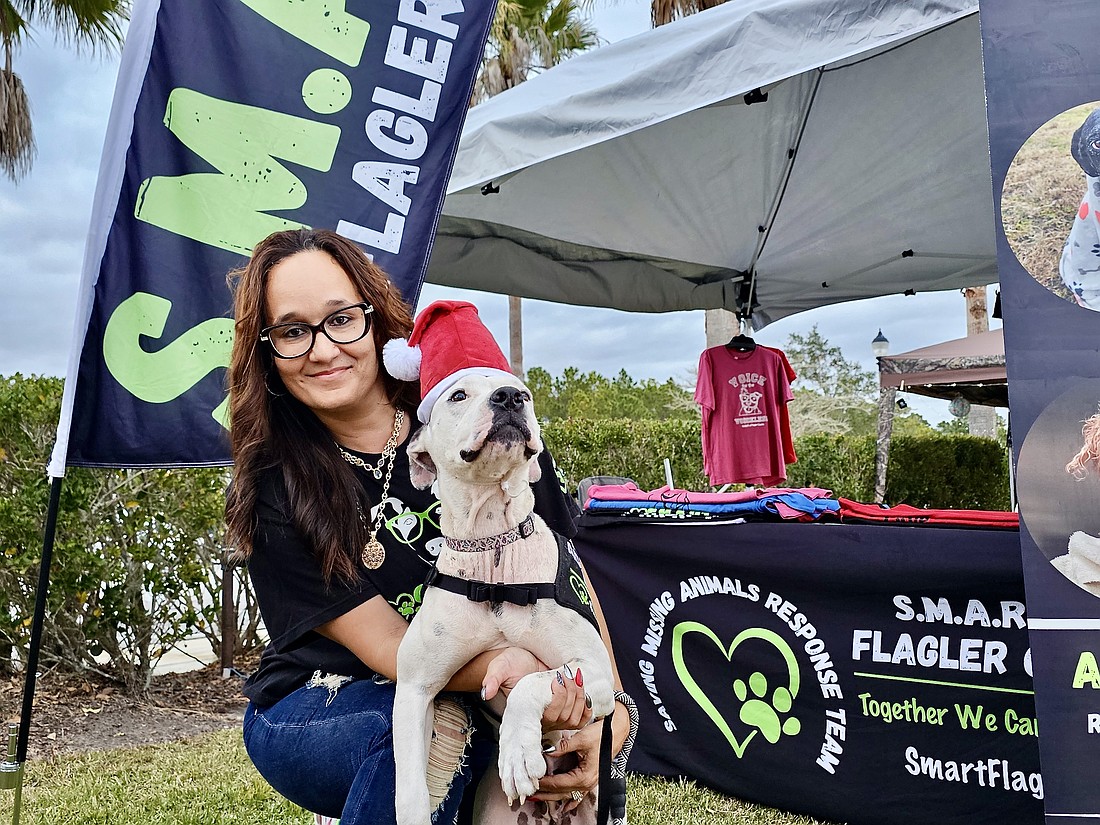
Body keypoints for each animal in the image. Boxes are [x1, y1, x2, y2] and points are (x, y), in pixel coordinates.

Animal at [393, 374, 620, 825]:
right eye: (458, 395)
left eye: (525, 393)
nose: (510, 398)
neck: (493, 550)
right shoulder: (413, 687)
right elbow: (408, 789)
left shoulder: (594, 669)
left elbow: (534, 680)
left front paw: (517, 750)